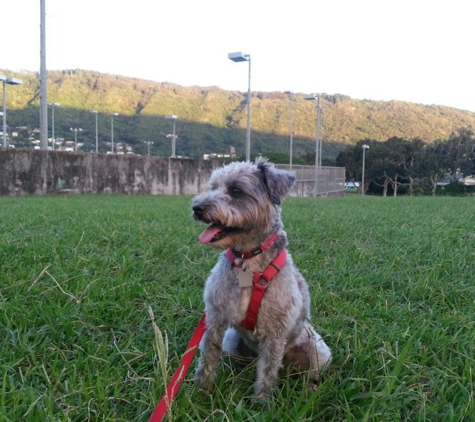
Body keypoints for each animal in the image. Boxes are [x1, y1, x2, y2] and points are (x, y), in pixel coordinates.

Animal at [191, 157, 330, 398]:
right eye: (213, 187)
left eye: (236, 190)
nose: (197, 208)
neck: (248, 263)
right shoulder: (216, 319)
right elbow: (208, 357)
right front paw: (202, 392)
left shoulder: (275, 332)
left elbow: (267, 372)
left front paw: (262, 402)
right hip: (232, 340)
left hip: (317, 349)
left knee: (308, 372)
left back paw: (310, 389)